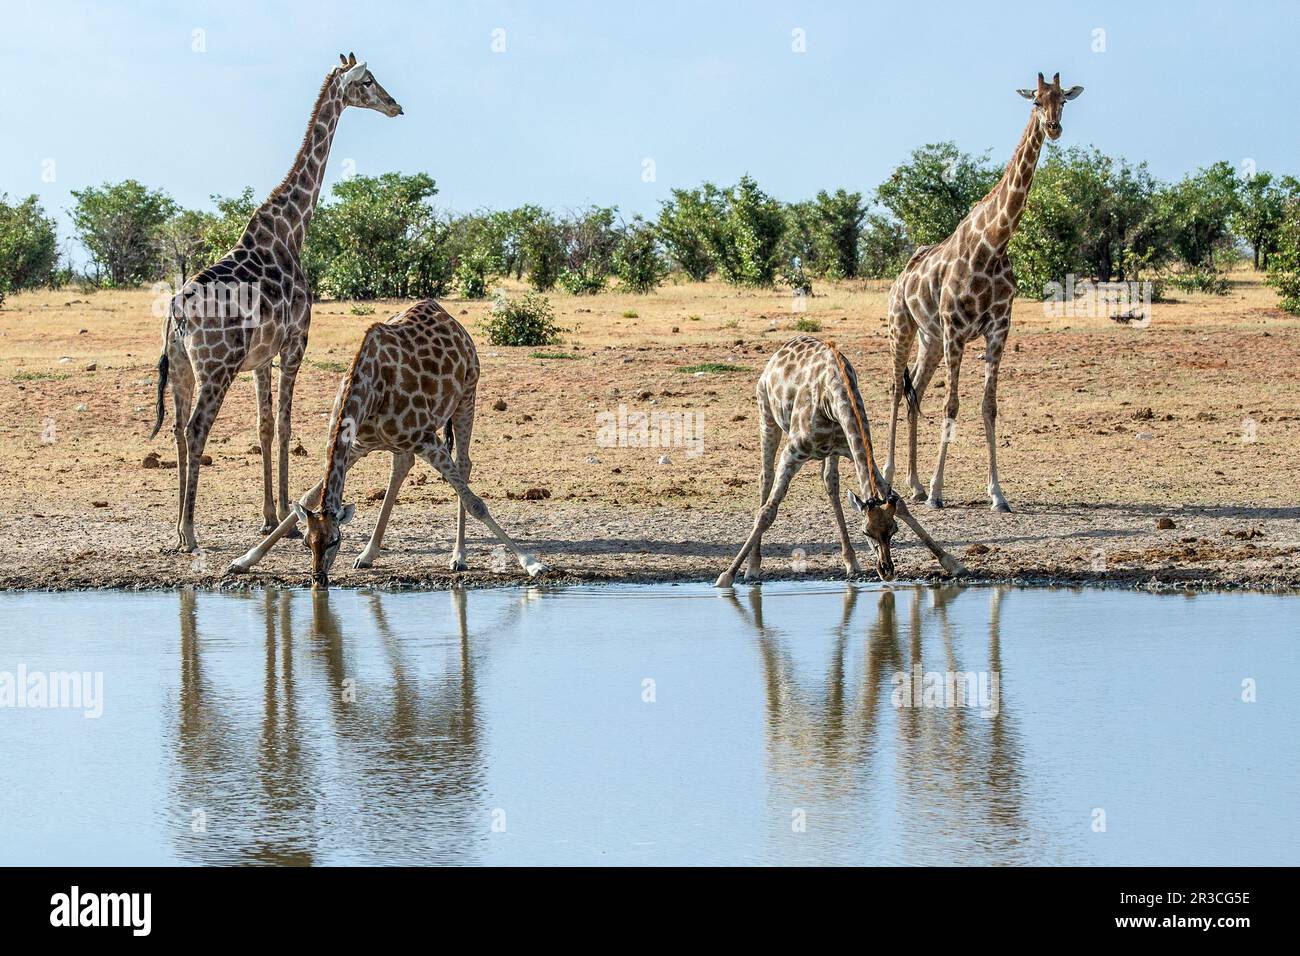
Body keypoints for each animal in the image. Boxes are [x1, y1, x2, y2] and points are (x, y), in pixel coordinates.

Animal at [149, 53, 403, 551]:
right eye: (367, 80)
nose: (395, 105)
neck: (293, 229)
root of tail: (176, 313)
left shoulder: (262, 357)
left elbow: (265, 427)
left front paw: (269, 516)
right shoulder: (295, 343)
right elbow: (285, 424)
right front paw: (289, 514)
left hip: (184, 369)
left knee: (176, 430)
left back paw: (176, 527)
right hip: (217, 368)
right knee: (195, 429)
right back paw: (190, 531)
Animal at [226, 299, 548, 589]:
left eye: (335, 540)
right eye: (307, 542)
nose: (319, 579)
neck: (368, 391)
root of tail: (451, 320)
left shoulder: (427, 438)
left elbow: (475, 503)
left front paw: (532, 564)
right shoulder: (357, 443)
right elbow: (308, 496)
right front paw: (243, 560)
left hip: (467, 394)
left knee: (464, 463)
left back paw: (458, 556)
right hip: (403, 439)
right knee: (402, 466)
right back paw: (368, 554)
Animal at [714, 336, 965, 588]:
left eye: (894, 530)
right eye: (866, 532)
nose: (886, 571)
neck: (832, 398)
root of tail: (779, 352)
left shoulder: (852, 448)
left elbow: (900, 502)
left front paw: (951, 562)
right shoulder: (792, 453)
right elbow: (767, 512)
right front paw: (726, 576)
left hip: (830, 452)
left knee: (830, 483)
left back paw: (851, 561)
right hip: (766, 415)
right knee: (766, 478)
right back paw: (753, 566)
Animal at [882, 72, 1082, 513]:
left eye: (1063, 100)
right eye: (1035, 101)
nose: (1054, 128)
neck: (994, 243)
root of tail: (900, 277)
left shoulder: (998, 329)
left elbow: (988, 406)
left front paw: (997, 494)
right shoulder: (957, 329)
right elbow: (952, 404)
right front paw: (937, 493)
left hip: (930, 339)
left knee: (915, 392)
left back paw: (913, 483)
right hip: (902, 328)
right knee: (896, 391)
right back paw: (888, 479)